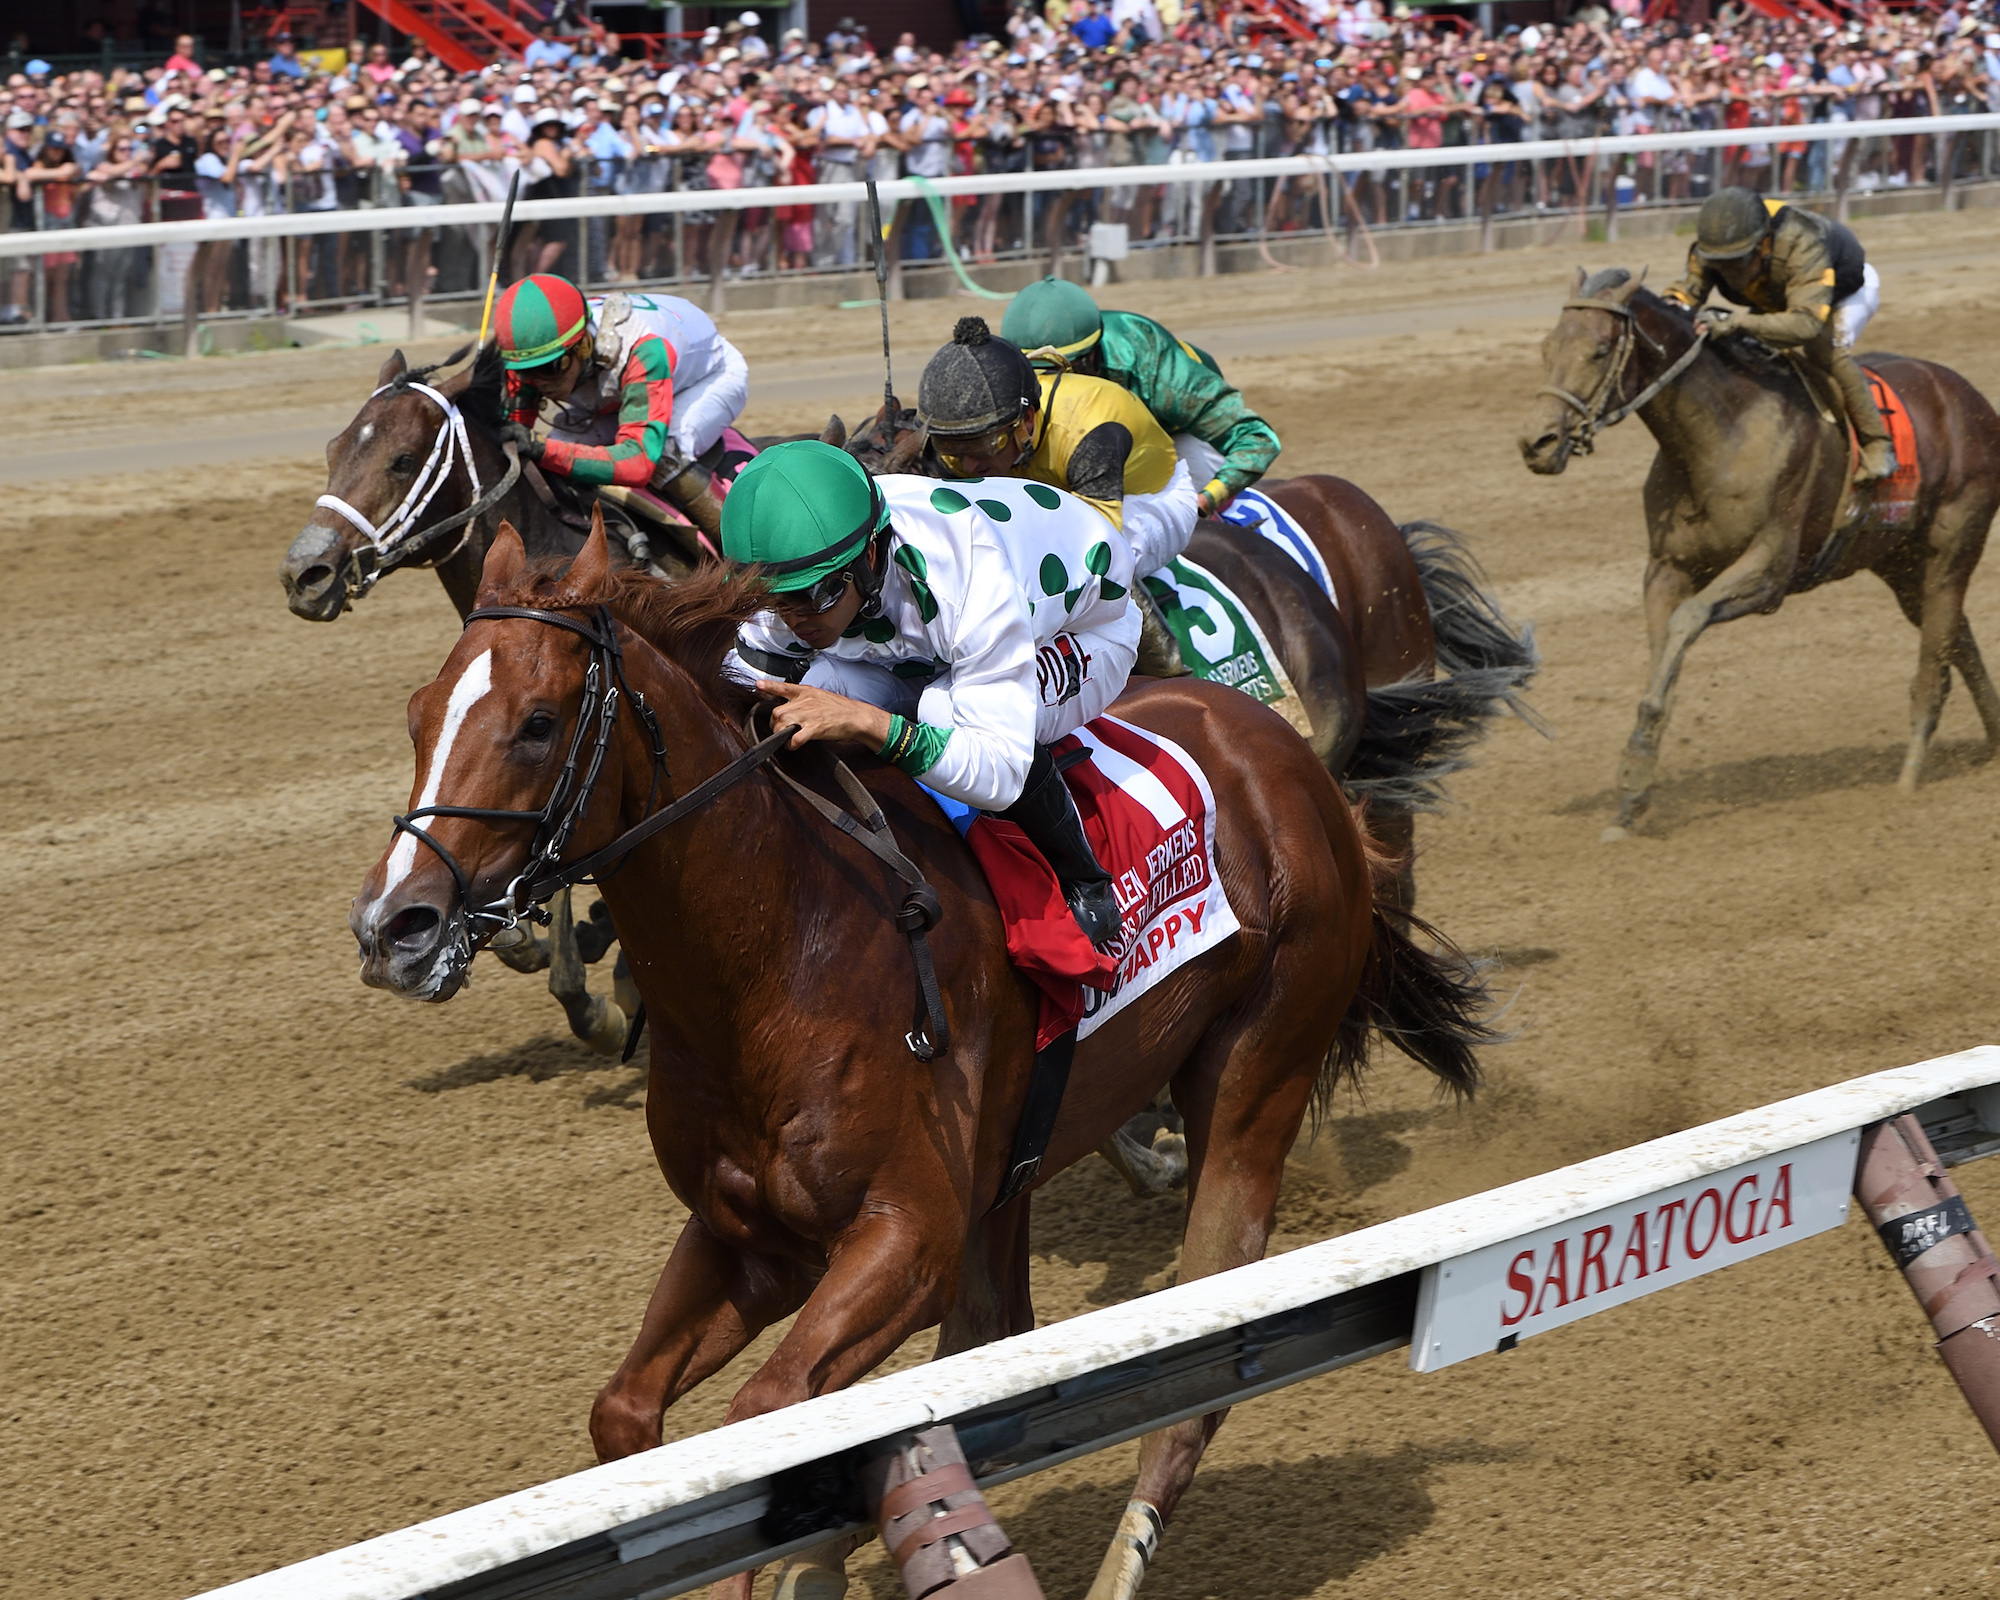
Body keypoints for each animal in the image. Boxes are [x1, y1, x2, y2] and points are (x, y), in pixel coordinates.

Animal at [352, 524, 1496, 1600]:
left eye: (539, 722)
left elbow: (765, 1415)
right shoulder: (748, 1236)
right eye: (415, 713)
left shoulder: (904, 1233)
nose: (395, 926)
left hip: (1255, 1080)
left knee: (1192, 1373)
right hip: (1011, 1160)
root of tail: (1288, 755)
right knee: (991, 1331)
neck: (778, 948)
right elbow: (631, 1416)